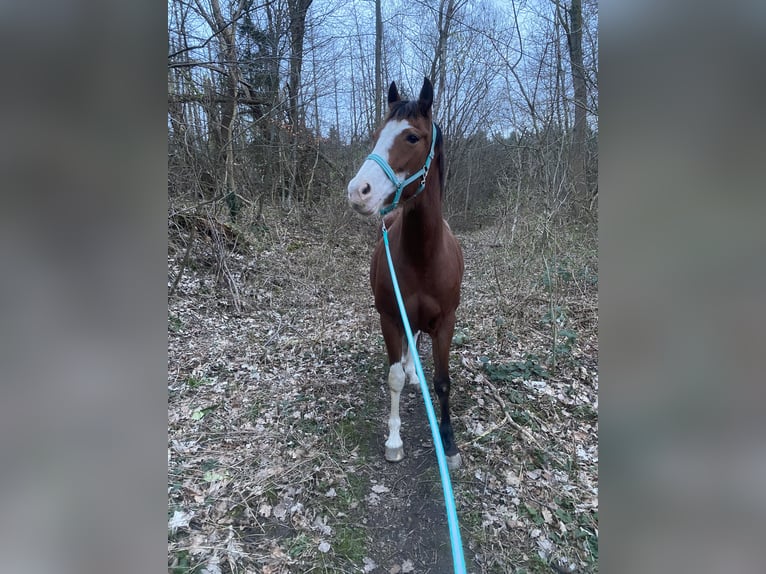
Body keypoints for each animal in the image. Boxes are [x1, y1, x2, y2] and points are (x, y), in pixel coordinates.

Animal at [347, 77, 465, 470]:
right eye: (377, 133)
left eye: (412, 137)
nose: (358, 192)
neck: (424, 256)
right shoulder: (389, 316)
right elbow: (394, 376)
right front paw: (394, 440)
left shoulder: (446, 322)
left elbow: (442, 381)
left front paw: (449, 444)